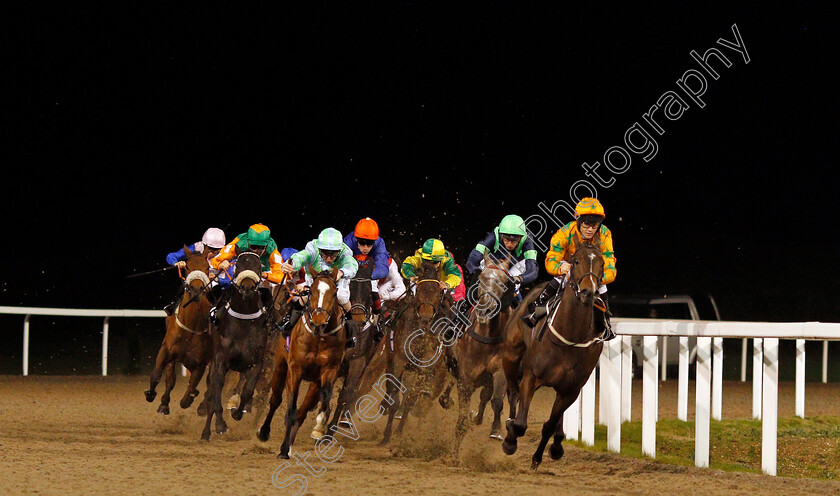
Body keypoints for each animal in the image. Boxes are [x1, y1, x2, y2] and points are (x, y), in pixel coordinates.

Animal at [144, 247, 212, 414]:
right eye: (187, 266)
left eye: (207, 267)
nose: (196, 290)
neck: (191, 327)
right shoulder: (167, 350)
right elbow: (159, 375)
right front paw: (153, 396)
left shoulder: (200, 362)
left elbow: (189, 392)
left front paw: (191, 398)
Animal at [201, 254, 272, 440]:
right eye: (238, 266)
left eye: (259, 267)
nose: (247, 287)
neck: (244, 324)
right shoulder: (220, 361)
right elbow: (216, 393)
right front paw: (220, 425)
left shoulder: (256, 363)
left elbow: (248, 390)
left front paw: (237, 413)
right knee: (212, 393)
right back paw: (206, 432)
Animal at [502, 242, 608, 470]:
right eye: (576, 261)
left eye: (602, 264)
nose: (588, 292)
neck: (569, 336)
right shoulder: (531, 377)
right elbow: (521, 424)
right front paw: (510, 440)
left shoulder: (571, 389)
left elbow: (550, 425)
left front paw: (538, 457)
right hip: (511, 355)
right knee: (512, 391)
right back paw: (506, 427)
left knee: (557, 418)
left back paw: (557, 443)